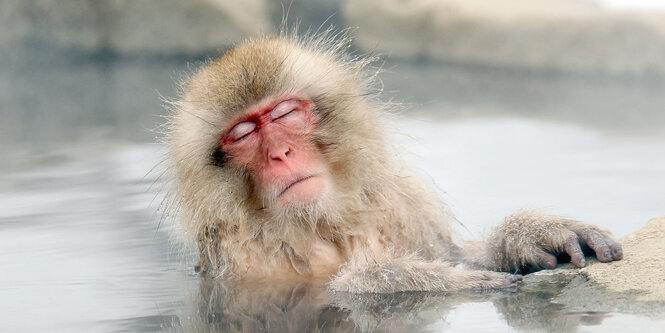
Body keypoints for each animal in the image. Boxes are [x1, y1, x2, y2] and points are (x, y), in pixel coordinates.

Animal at [162, 30, 624, 290]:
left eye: (284, 114)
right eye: (243, 134)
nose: (280, 153)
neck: (322, 225)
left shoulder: (405, 209)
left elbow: (452, 251)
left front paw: (526, 234)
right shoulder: (246, 260)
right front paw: (440, 280)